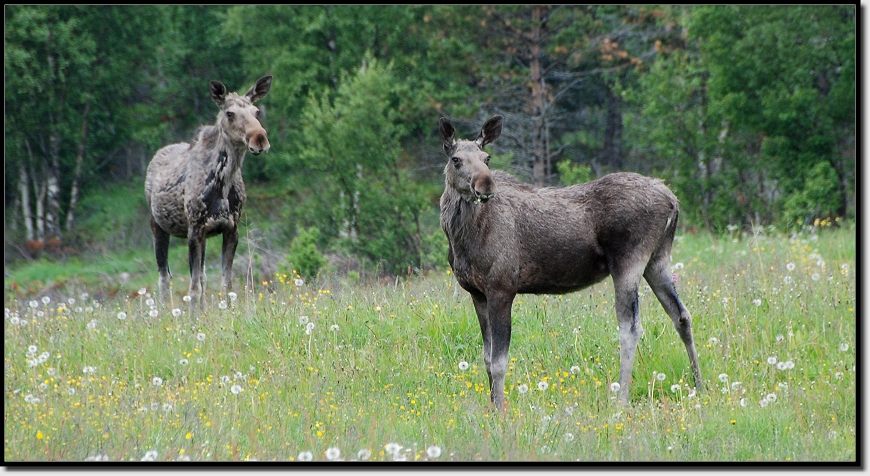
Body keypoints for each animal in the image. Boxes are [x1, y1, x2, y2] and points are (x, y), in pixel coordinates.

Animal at [145, 74, 272, 312]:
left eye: (257, 111)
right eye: (230, 113)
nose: (259, 138)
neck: (223, 183)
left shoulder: (231, 229)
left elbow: (225, 284)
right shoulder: (195, 229)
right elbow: (193, 288)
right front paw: (194, 317)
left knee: (201, 276)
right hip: (157, 225)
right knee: (164, 277)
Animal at [440, 115, 704, 410]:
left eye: (487, 158)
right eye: (456, 159)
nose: (485, 186)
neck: (462, 238)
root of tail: (673, 200)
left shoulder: (502, 287)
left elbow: (498, 362)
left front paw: (500, 410)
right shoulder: (477, 293)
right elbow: (486, 359)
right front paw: (492, 406)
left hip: (629, 261)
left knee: (630, 328)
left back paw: (621, 398)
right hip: (657, 260)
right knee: (681, 315)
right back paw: (699, 385)